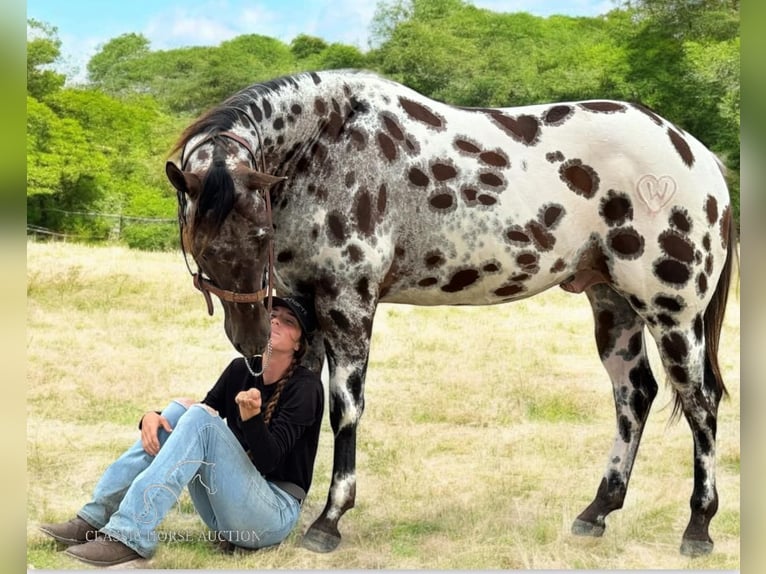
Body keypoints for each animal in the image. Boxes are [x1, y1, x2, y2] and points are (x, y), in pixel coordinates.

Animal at [166, 68, 736, 560]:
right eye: (199, 242)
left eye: (260, 234)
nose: (251, 339)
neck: (330, 147)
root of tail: (698, 155)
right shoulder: (307, 306)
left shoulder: (349, 302)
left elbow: (345, 409)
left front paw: (329, 521)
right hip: (613, 305)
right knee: (634, 396)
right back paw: (596, 512)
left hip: (672, 312)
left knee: (701, 404)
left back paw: (698, 528)